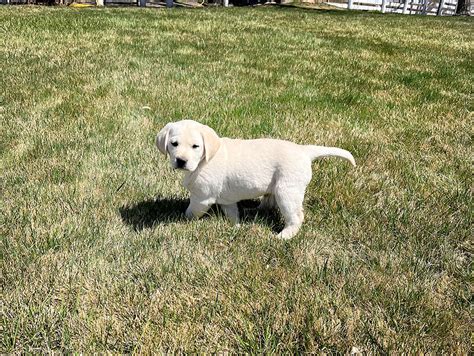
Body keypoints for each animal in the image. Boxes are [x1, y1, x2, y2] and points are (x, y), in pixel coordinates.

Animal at [156, 119, 356, 239]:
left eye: (195, 146)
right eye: (174, 144)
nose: (181, 161)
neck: (205, 159)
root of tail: (304, 150)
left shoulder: (202, 198)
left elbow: (191, 212)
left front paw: (179, 220)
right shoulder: (226, 199)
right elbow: (232, 212)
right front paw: (235, 226)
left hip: (287, 191)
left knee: (296, 216)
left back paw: (284, 236)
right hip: (274, 188)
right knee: (267, 204)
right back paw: (253, 211)